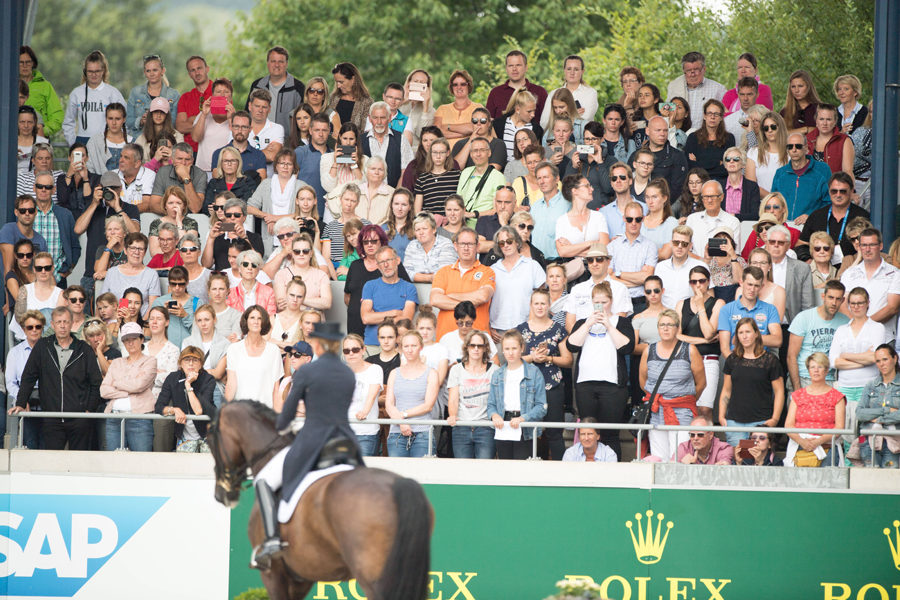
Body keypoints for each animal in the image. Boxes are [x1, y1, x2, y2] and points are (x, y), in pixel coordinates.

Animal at [211, 398, 436, 600]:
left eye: (211, 441)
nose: (221, 494)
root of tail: (400, 484)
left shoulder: (274, 574)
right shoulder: (302, 577)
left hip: (375, 577)